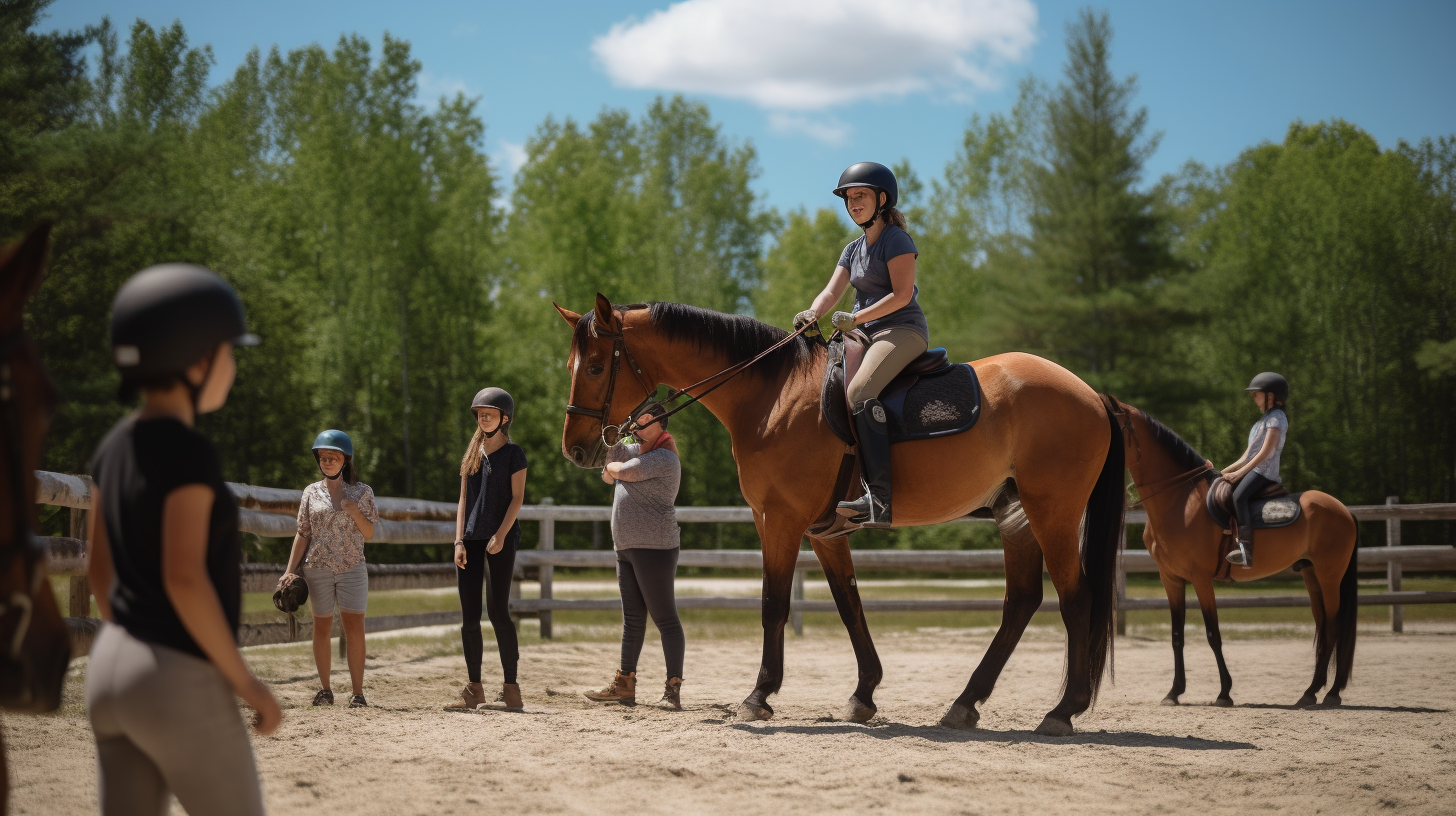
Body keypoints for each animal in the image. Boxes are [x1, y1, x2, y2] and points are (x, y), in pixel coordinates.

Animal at [556, 295, 1124, 737]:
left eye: (597, 367)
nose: (576, 450)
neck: (771, 393)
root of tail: (1091, 394)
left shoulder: (779, 521)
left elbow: (774, 605)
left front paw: (759, 696)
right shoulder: (824, 532)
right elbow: (850, 605)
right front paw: (864, 694)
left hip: (1053, 513)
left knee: (1075, 600)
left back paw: (1062, 711)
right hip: (1017, 517)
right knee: (1021, 602)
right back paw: (965, 704)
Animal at [1106, 396, 1356, 708]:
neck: (1180, 501)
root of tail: (1343, 510)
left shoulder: (1200, 578)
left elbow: (1213, 634)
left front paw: (1224, 692)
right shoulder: (1171, 579)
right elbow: (1177, 635)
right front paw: (1174, 692)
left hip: (1330, 576)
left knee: (1333, 627)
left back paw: (1331, 693)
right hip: (1311, 575)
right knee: (1323, 626)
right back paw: (1310, 692)